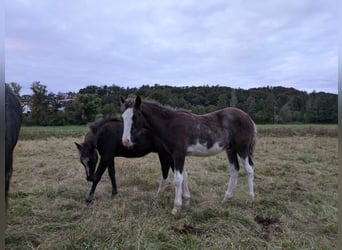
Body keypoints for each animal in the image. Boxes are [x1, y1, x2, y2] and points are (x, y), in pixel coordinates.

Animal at [120, 95, 256, 215]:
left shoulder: (178, 154)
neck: (170, 124)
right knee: (234, 170)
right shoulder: (176, 155)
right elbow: (184, 176)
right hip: (230, 149)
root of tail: (248, 118)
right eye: (123, 117)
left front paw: (176, 207)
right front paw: (186, 202)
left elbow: (178, 179)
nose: (126, 141)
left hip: (242, 149)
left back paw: (250, 200)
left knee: (249, 169)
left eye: (135, 117)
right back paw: (226, 200)